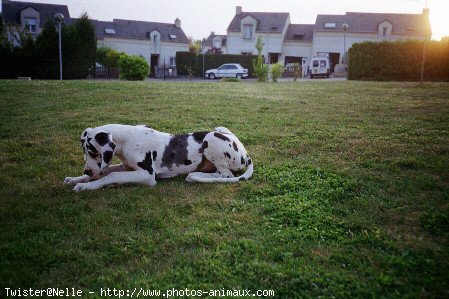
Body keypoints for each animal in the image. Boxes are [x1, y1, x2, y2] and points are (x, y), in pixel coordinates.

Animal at [63, 124, 252, 192]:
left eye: (94, 152)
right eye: (85, 152)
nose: (87, 170)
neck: (128, 139)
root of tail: (246, 153)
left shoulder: (146, 174)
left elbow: (112, 175)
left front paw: (86, 186)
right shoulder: (127, 167)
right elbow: (109, 171)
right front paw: (77, 178)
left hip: (211, 138)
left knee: (225, 175)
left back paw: (195, 176)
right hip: (218, 129)